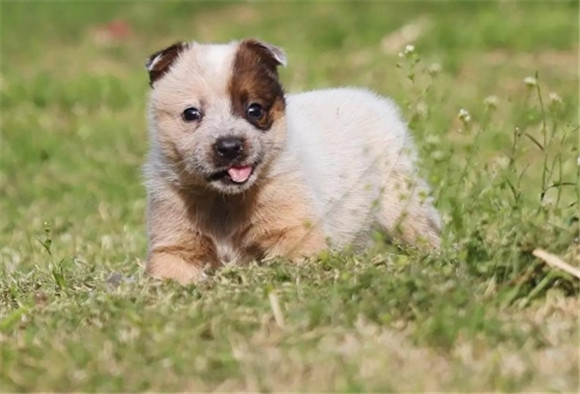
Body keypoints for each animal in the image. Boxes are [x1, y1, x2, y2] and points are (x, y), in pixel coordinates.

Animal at [144, 38, 440, 284]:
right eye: (191, 113)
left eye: (254, 110)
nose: (230, 146)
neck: (225, 202)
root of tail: (373, 100)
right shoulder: (175, 246)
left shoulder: (296, 232)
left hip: (402, 199)